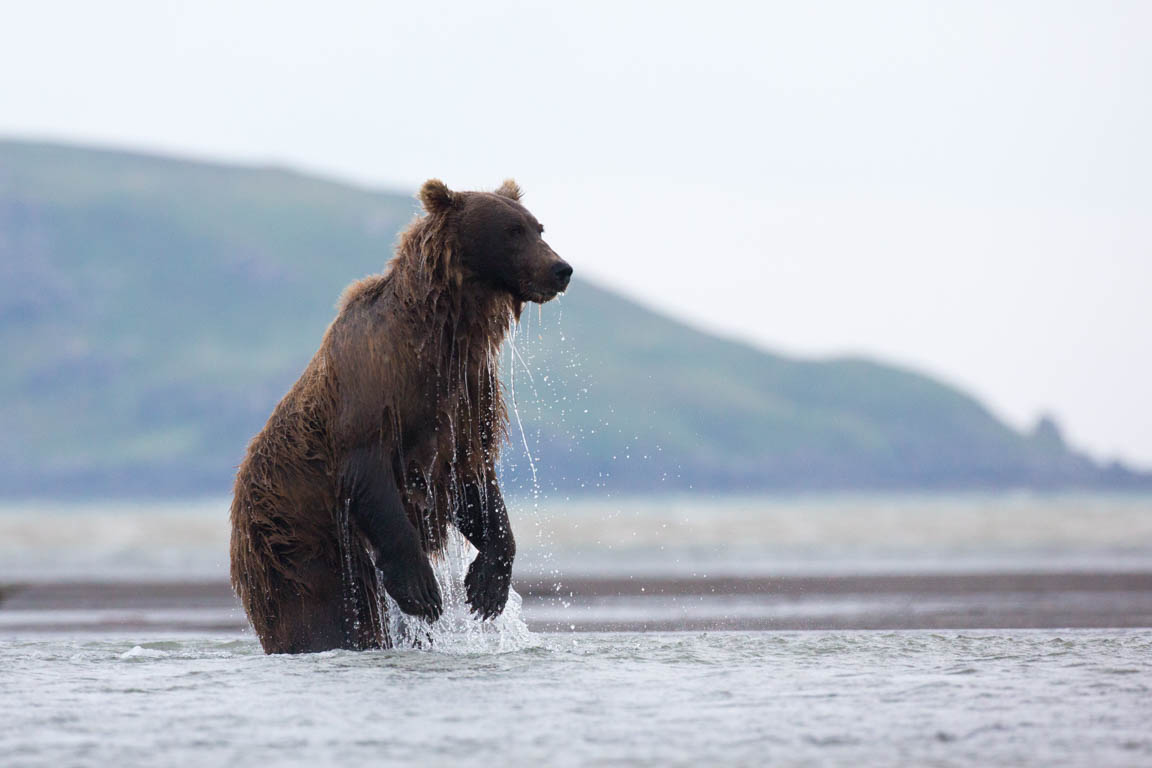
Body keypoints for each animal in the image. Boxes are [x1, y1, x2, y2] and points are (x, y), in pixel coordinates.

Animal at [228, 180, 571, 654]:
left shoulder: (465, 401)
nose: (561, 269)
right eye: (512, 231)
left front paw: (487, 586)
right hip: (296, 539)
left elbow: (474, 485)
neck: (442, 336)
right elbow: (371, 475)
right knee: (320, 613)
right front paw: (421, 588)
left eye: (538, 227)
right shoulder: (374, 391)